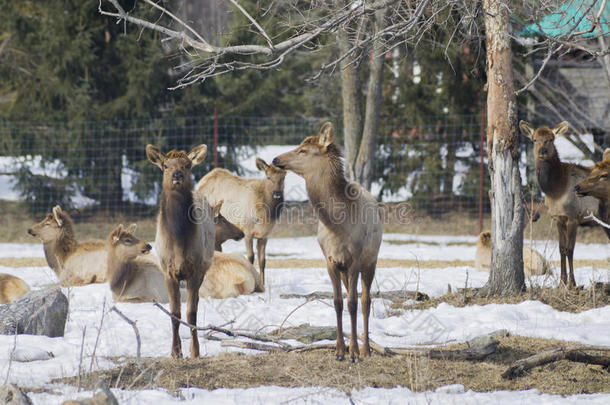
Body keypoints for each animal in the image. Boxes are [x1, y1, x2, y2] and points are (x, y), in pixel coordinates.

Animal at [147, 143, 214, 356]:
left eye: (187, 165)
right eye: (165, 165)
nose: (177, 174)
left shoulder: (196, 270)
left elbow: (191, 313)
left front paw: (195, 351)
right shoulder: (168, 271)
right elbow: (175, 313)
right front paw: (175, 352)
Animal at [197, 156, 288, 286]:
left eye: (283, 177)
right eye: (268, 177)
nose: (277, 194)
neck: (265, 215)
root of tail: (201, 182)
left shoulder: (264, 235)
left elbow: (263, 260)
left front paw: (263, 283)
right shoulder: (247, 231)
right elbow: (250, 257)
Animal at [270, 121, 380, 362]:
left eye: (303, 150)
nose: (275, 159)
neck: (337, 224)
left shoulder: (355, 259)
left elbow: (353, 303)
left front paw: (354, 352)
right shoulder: (331, 260)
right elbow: (338, 303)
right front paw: (340, 350)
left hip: (371, 260)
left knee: (366, 301)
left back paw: (366, 349)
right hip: (344, 269)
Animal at [516, 120, 604, 288]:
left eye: (551, 139)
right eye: (534, 139)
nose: (542, 151)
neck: (556, 190)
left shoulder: (573, 216)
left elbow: (570, 249)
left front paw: (572, 284)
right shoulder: (558, 217)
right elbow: (561, 248)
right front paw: (561, 282)